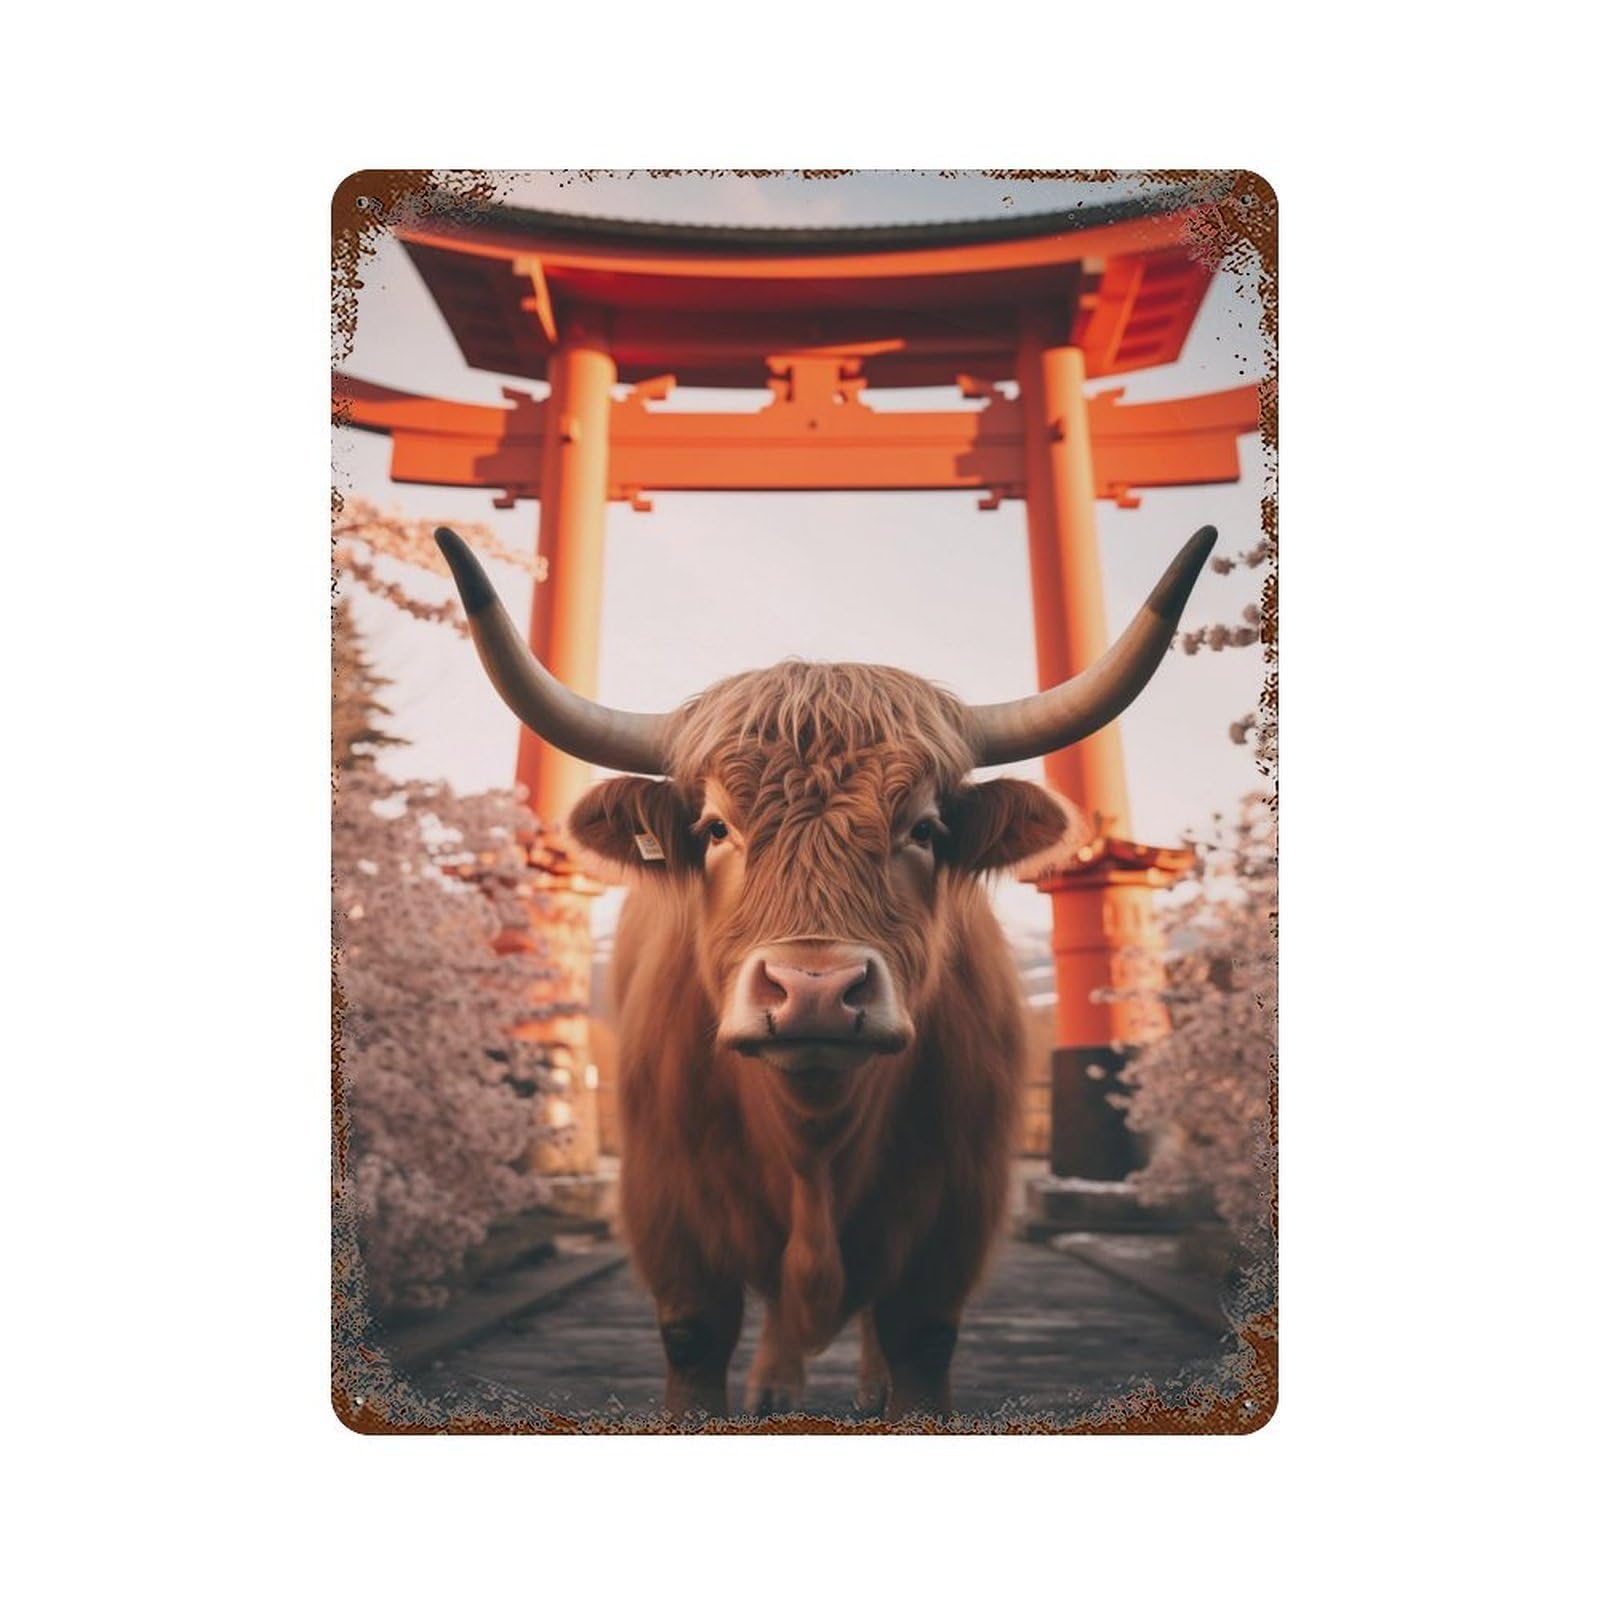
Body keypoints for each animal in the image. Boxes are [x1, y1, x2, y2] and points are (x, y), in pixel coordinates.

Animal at [434, 523, 1216, 1421]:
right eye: (715, 828)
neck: (813, 1138)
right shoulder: (671, 1224)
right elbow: (697, 1342)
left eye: (924, 828)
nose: (814, 992)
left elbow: (917, 1345)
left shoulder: (949, 1233)